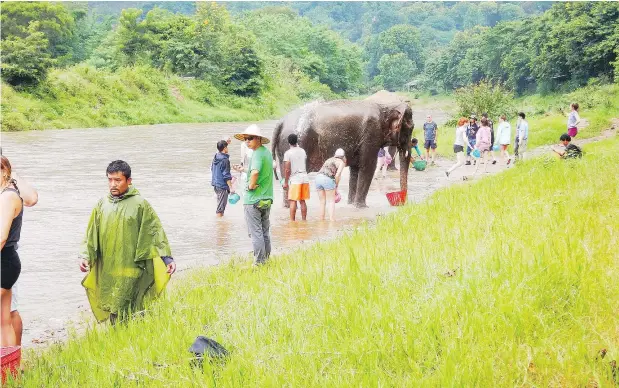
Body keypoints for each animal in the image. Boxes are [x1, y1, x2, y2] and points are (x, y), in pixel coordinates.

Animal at [272, 96, 414, 209]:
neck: (386, 107)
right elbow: (368, 167)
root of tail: (281, 122)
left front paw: (351, 204)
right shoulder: (371, 134)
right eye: (410, 129)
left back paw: (287, 206)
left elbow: (355, 170)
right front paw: (362, 207)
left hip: (283, 149)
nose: (403, 202)